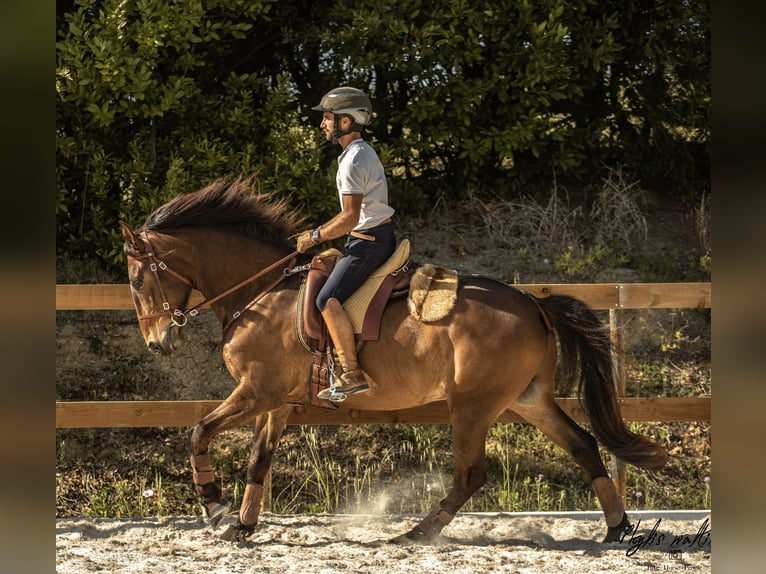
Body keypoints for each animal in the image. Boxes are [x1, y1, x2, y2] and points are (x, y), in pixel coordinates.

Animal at [118, 178, 664, 548]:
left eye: (138, 280)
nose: (157, 343)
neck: (262, 291)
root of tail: (535, 304)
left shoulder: (256, 392)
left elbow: (199, 430)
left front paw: (214, 505)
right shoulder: (275, 401)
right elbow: (259, 461)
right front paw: (244, 526)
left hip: (473, 406)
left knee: (470, 475)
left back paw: (415, 534)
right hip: (528, 400)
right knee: (584, 446)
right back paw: (618, 529)